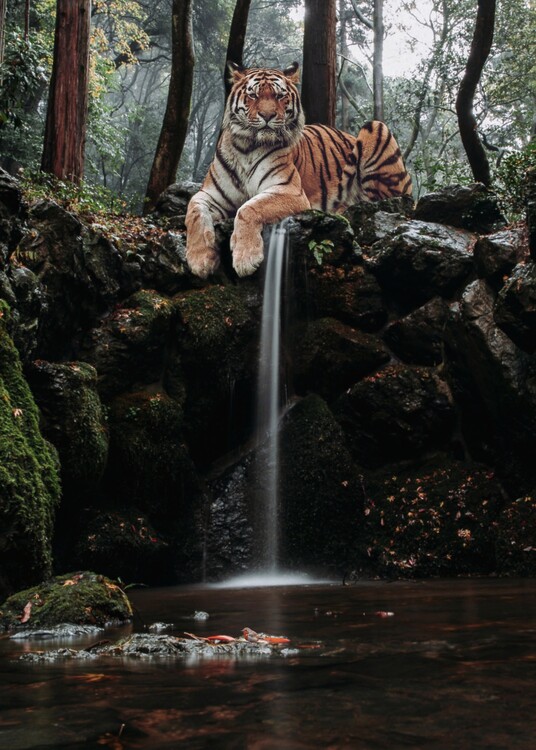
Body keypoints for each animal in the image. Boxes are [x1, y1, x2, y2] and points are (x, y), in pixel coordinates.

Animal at [185, 62, 412, 278]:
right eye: (253, 95)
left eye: (279, 95)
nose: (267, 115)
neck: (246, 147)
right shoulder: (211, 194)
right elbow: (194, 211)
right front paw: (199, 260)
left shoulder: (289, 191)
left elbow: (248, 208)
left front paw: (246, 258)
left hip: (376, 128)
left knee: (380, 200)